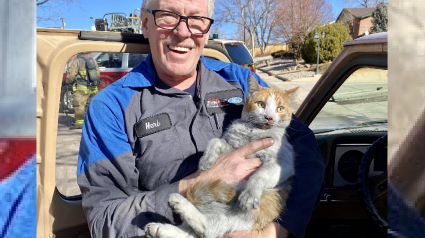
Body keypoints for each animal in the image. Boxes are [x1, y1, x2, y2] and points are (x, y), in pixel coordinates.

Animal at [145, 75, 298, 238]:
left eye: (280, 109)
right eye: (261, 104)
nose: (269, 117)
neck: (253, 132)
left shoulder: (282, 163)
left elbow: (259, 175)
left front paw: (249, 195)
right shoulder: (232, 147)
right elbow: (215, 141)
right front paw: (206, 161)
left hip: (246, 212)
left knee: (207, 229)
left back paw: (176, 204)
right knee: (194, 232)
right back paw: (158, 227)